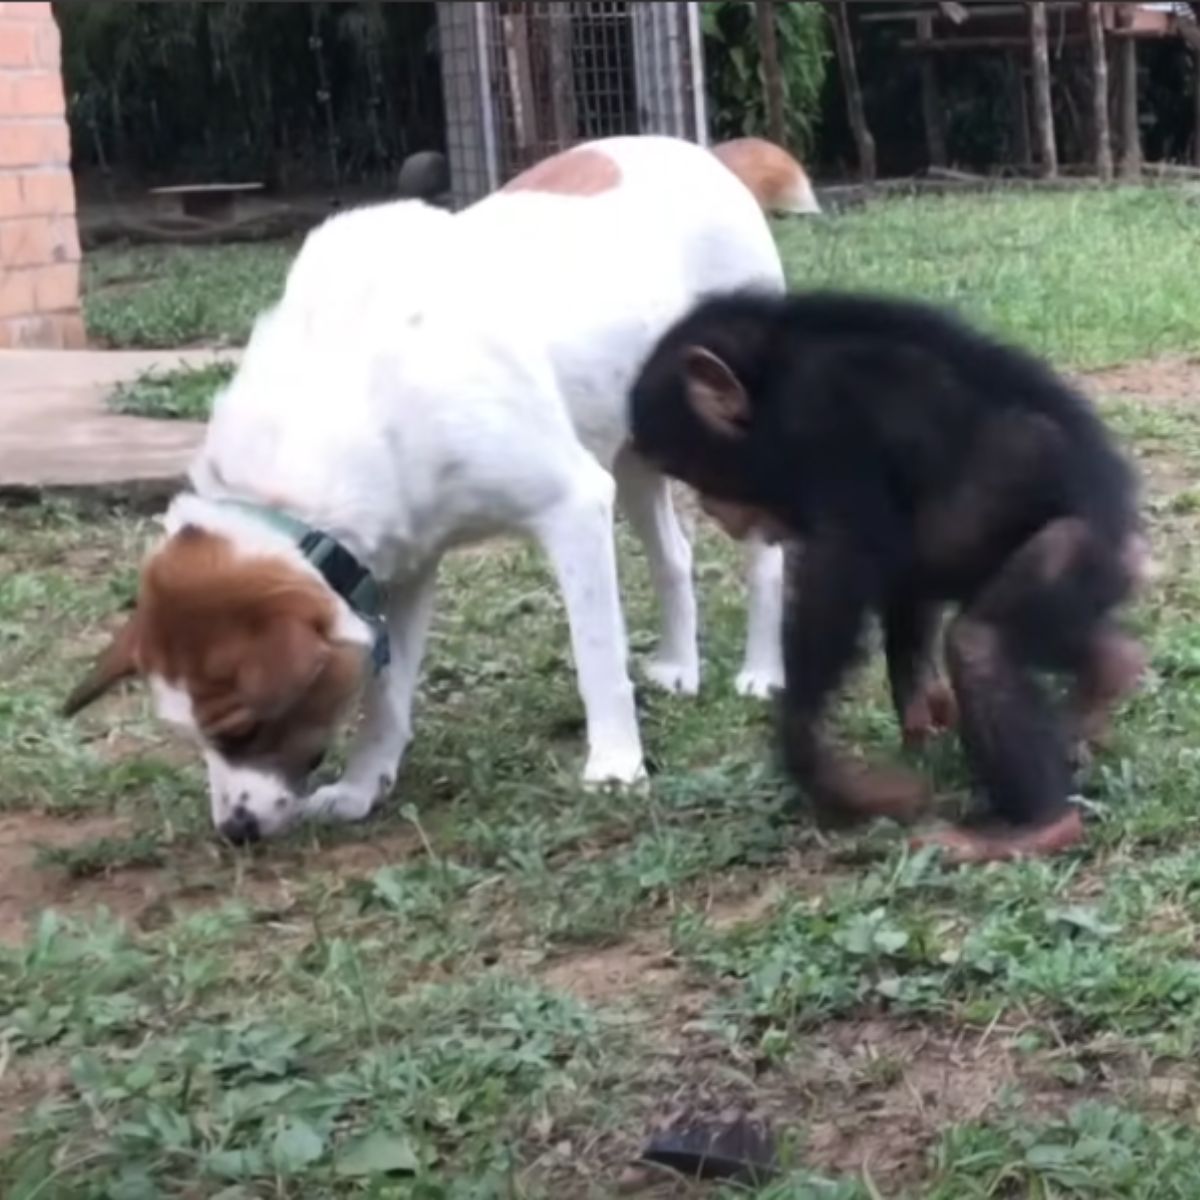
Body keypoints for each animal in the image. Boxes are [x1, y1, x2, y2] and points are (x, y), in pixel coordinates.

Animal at [63, 133, 816, 844]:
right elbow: (385, 695)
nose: (236, 831)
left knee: (764, 558)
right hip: (632, 446)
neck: (348, 389)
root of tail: (705, 155)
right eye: (190, 738)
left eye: (244, 730)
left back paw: (762, 671)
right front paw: (363, 784)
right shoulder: (395, 565)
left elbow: (596, 656)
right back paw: (681, 666)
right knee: (673, 557)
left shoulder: (570, 504)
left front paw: (614, 763)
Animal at [628, 290, 1142, 864]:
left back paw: (1039, 825)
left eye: (687, 469)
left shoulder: (823, 419)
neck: (768, 387)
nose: (710, 509)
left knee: (980, 642)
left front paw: (813, 761)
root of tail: (1128, 540)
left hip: (1077, 549)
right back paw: (1110, 671)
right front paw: (918, 707)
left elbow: (843, 565)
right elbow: (898, 573)